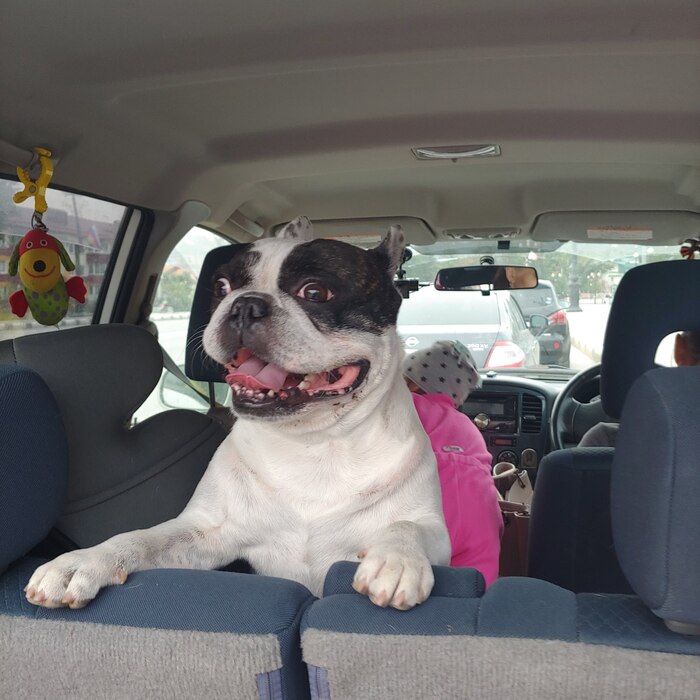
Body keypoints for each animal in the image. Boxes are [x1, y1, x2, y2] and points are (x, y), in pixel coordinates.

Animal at [25, 217, 451, 611]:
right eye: (222, 288)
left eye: (315, 291)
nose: (245, 304)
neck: (314, 442)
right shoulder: (206, 532)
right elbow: (140, 539)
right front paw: (83, 561)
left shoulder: (437, 536)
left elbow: (408, 525)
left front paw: (396, 558)